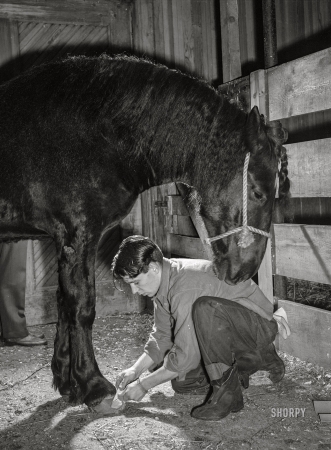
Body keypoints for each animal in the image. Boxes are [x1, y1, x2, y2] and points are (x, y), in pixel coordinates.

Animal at [0, 55, 290, 412]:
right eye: (258, 193)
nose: (244, 271)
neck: (95, 133)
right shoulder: (78, 233)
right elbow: (81, 308)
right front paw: (94, 386)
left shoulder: (64, 240)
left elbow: (64, 306)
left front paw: (68, 383)